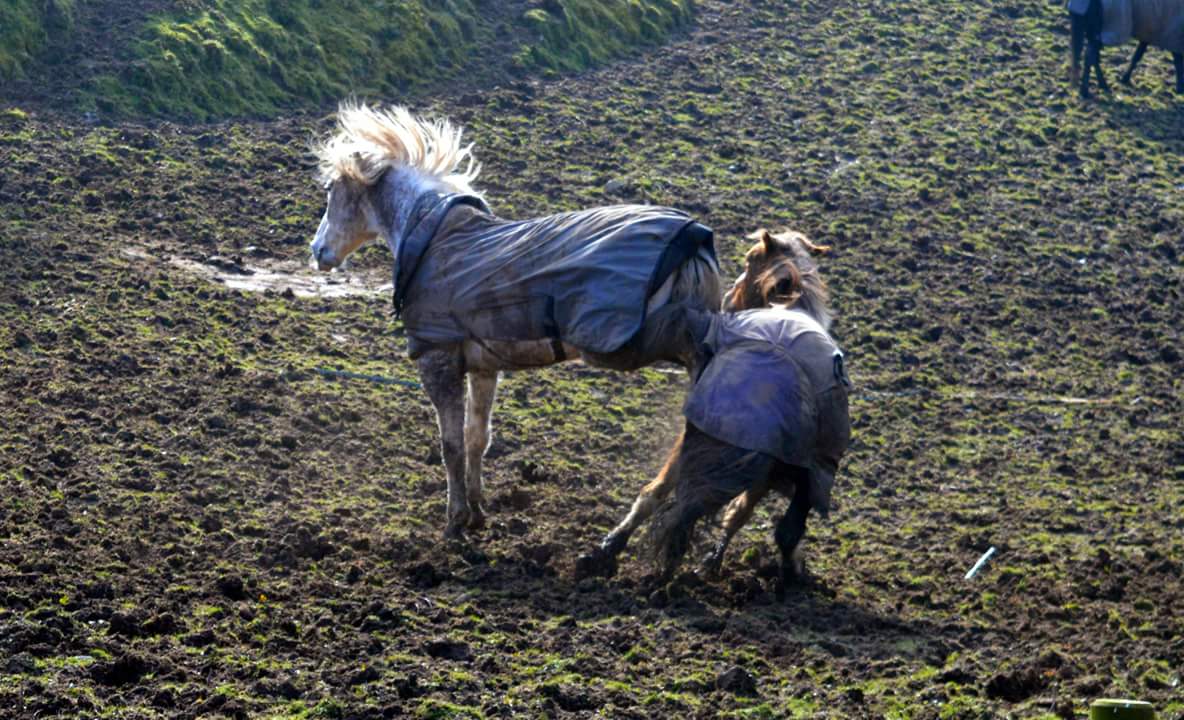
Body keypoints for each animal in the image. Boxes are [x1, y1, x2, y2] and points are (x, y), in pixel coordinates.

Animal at [309, 102, 722, 539]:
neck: (434, 240)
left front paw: (455, 519)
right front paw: (476, 511)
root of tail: (694, 242)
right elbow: (477, 438)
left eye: (330, 190)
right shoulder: (484, 367)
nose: (318, 251)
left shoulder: (437, 360)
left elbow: (451, 445)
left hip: (656, 342)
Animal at [574, 229, 840, 585]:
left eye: (750, 259)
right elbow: (744, 514)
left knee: (661, 496)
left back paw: (612, 553)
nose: (729, 298)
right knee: (779, 526)